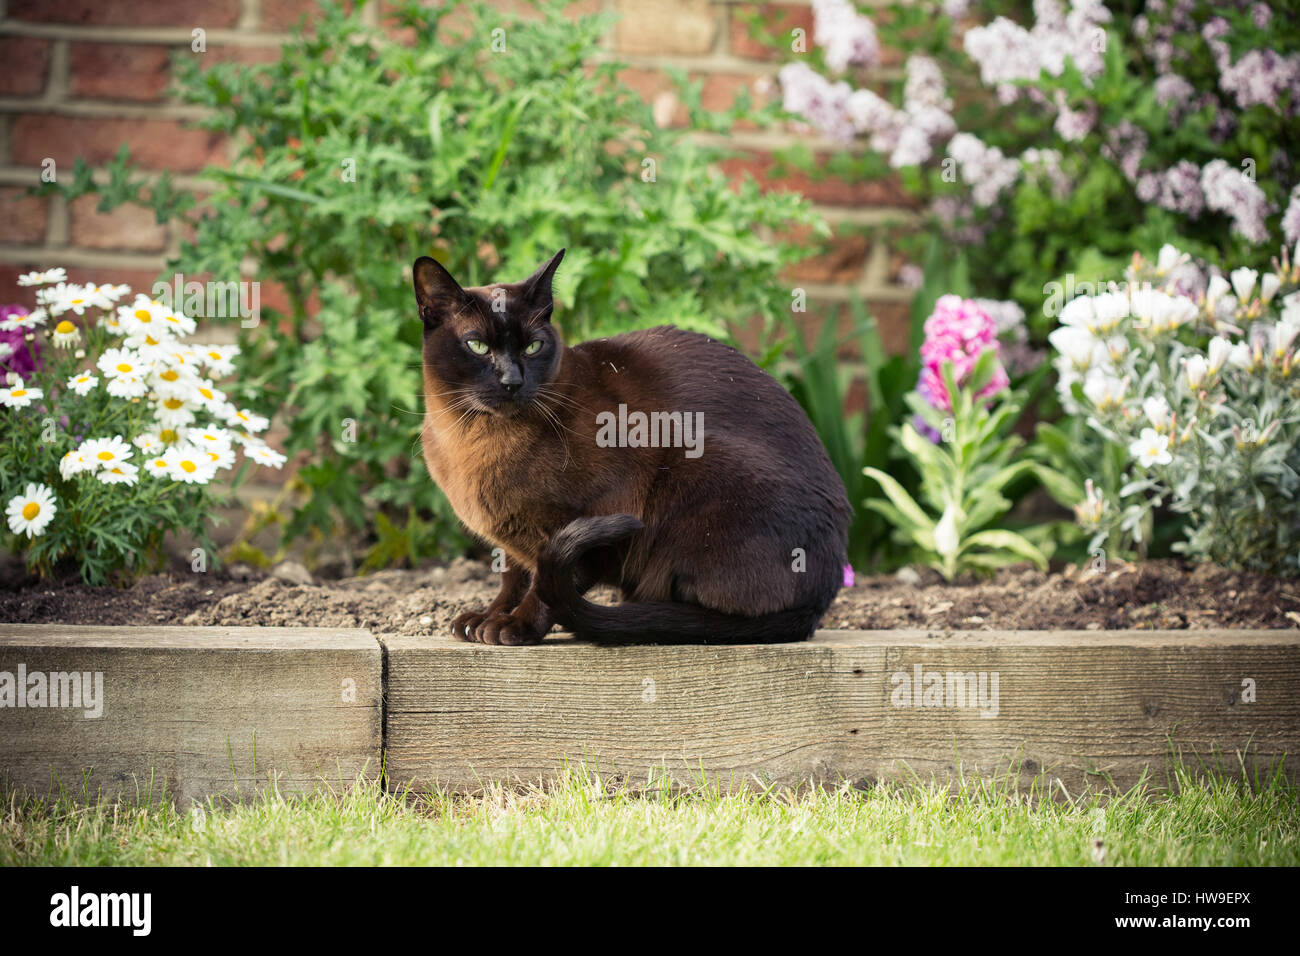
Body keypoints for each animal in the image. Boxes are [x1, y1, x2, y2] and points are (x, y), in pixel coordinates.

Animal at [416, 251, 852, 647]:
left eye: (533, 348)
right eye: (477, 346)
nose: (511, 381)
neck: (472, 438)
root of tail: (821, 601)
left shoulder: (602, 507)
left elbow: (544, 585)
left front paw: (513, 627)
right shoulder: (510, 538)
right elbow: (512, 580)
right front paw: (484, 619)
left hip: (699, 467)